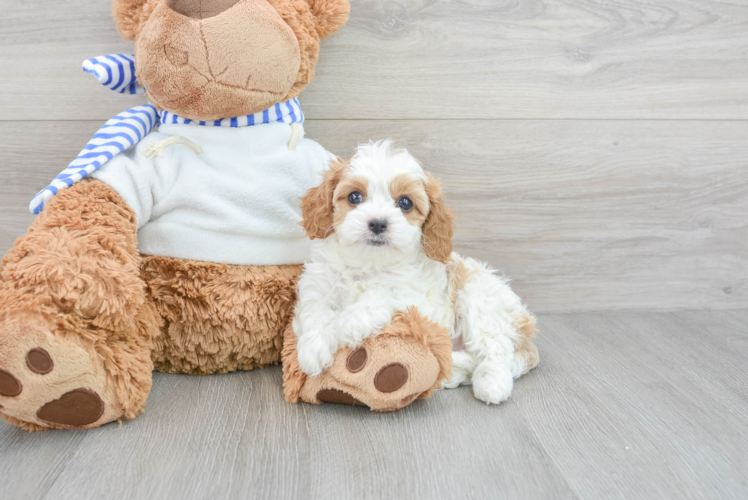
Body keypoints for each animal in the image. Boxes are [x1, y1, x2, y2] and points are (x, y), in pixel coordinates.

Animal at [292, 139, 536, 404]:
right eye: (354, 196)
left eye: (405, 203)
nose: (378, 223)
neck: (369, 262)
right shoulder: (318, 285)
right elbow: (316, 312)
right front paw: (313, 349)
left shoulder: (417, 298)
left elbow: (381, 294)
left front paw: (348, 323)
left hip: (479, 295)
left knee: (496, 348)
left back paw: (491, 382)